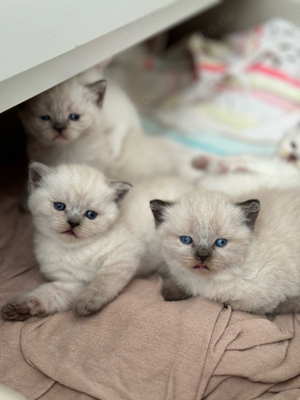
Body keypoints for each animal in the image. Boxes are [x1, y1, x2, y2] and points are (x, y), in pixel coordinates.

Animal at [1, 161, 192, 320]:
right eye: (59, 206)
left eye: (91, 215)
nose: (73, 223)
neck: (74, 250)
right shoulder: (73, 282)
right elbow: (45, 294)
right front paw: (18, 308)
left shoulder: (121, 257)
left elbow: (101, 283)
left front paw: (86, 303)